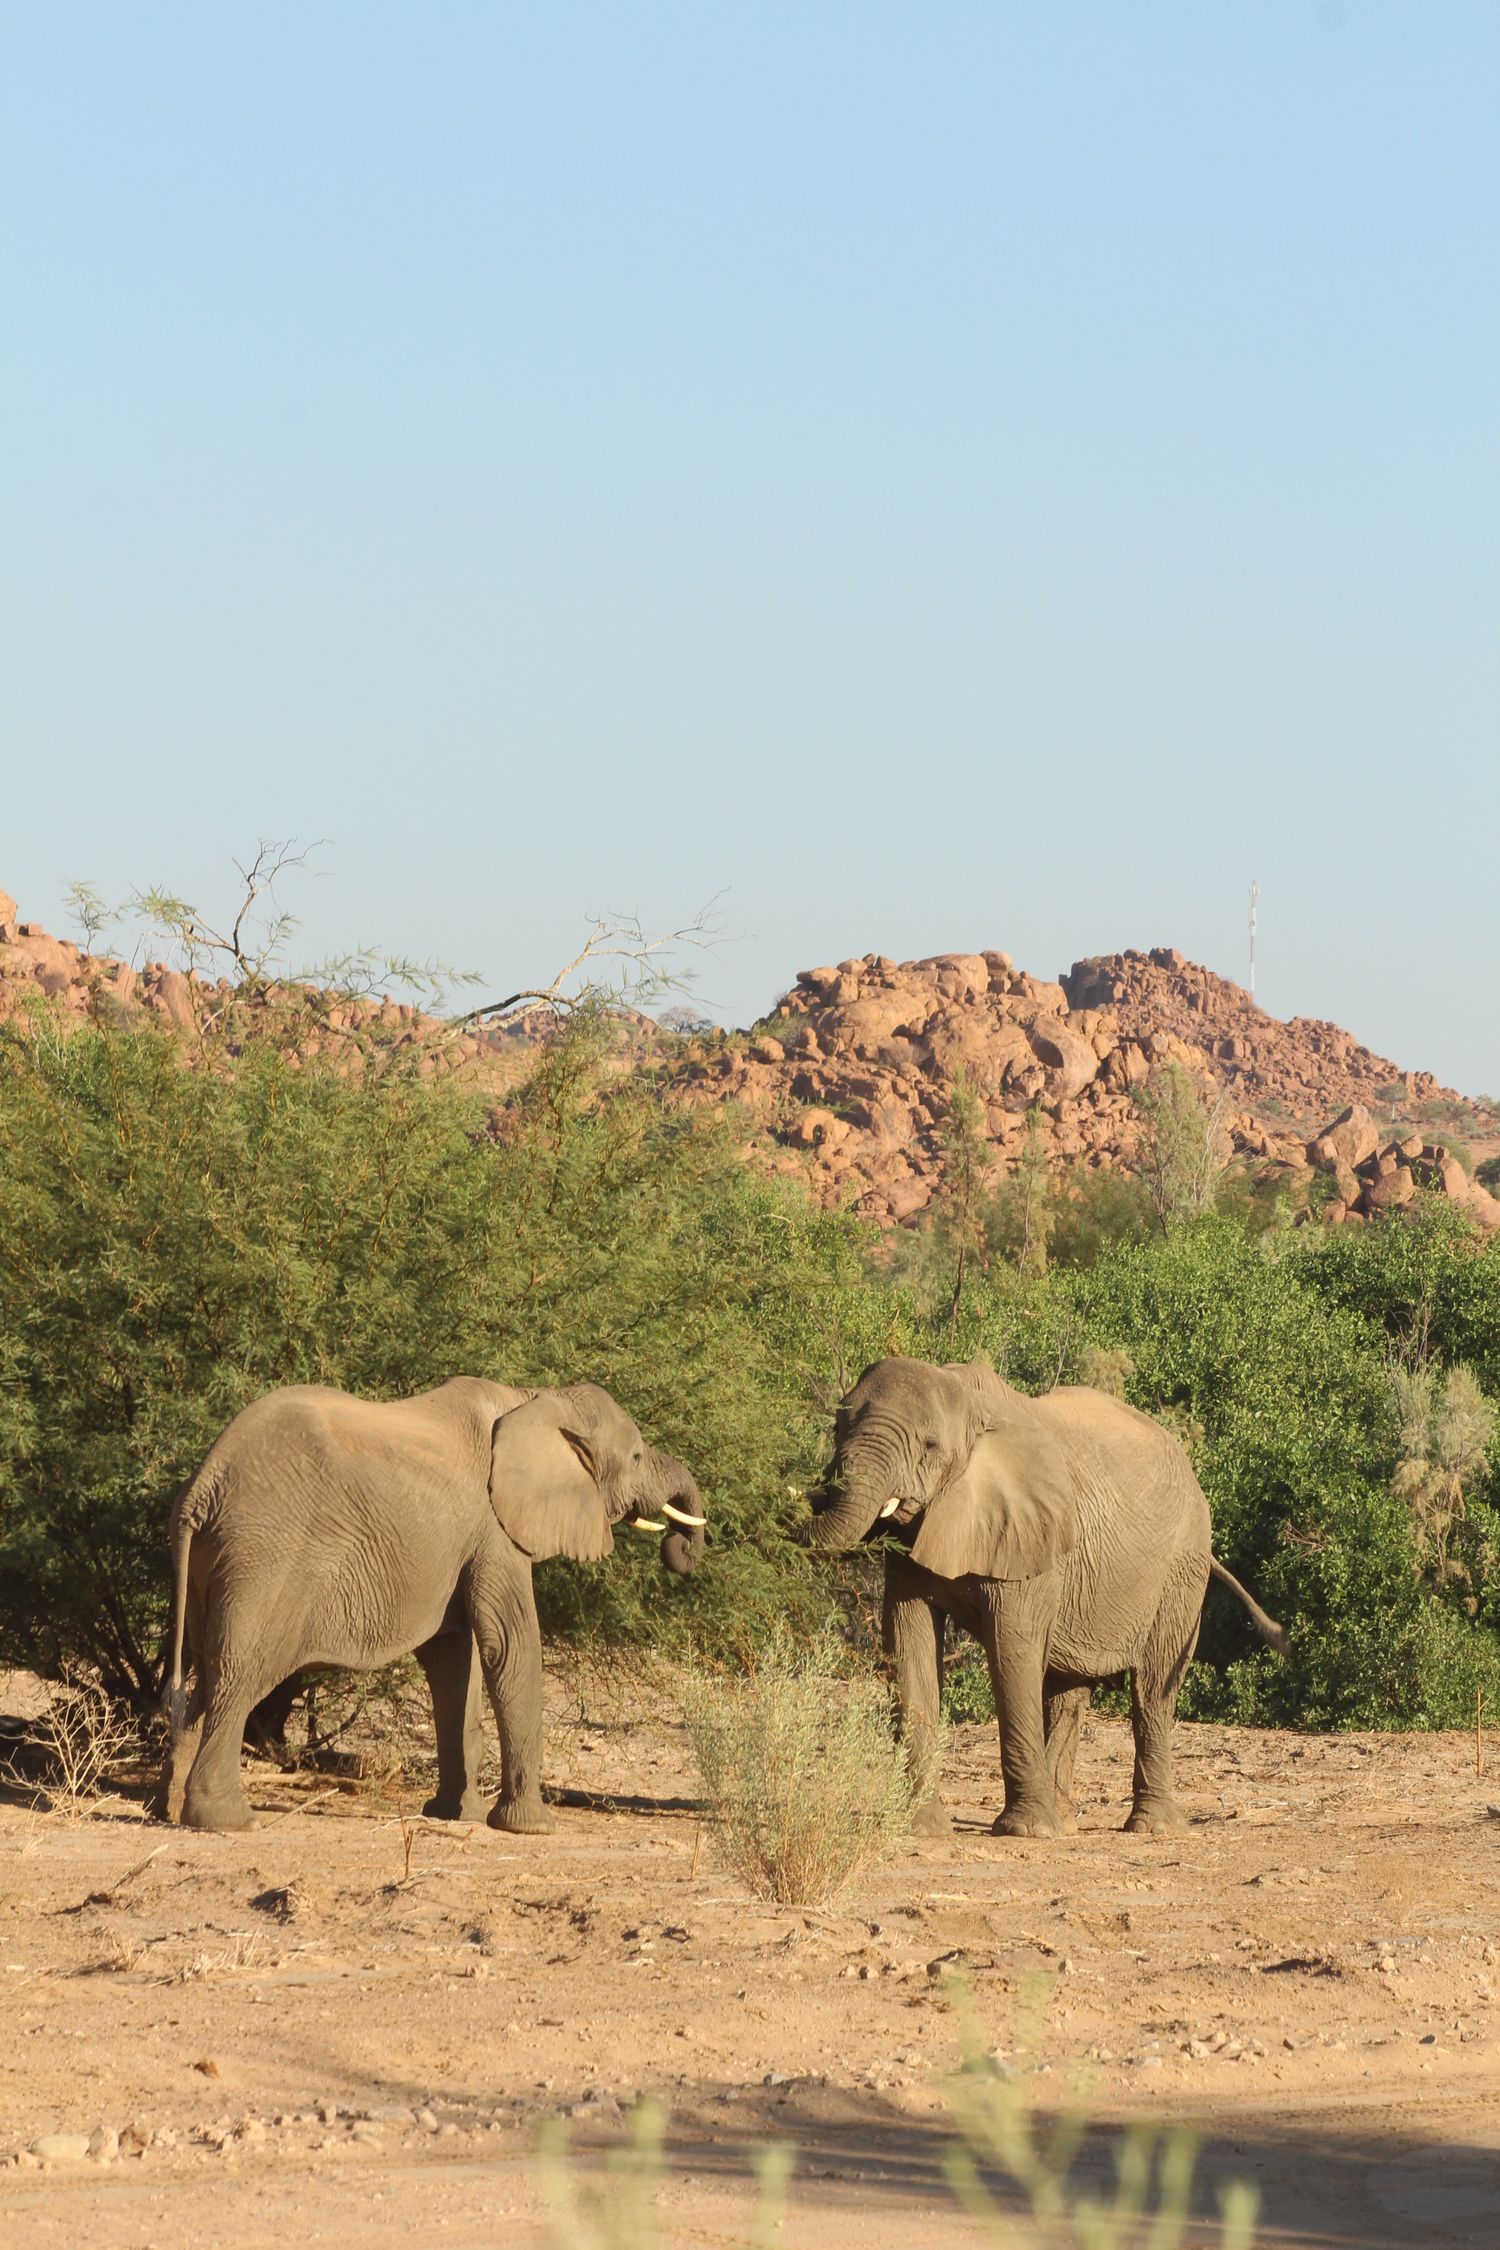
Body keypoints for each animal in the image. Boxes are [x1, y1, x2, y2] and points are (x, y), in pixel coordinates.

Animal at [156, 1376, 705, 1833]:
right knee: (239, 1676)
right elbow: (510, 1646)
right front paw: (531, 1828)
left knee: (206, 1673)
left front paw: (455, 1815)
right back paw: (228, 1821)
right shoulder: (494, 1530)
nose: (679, 1547)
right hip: (264, 1558)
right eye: (636, 1458)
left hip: (216, 1561)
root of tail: (203, 1483)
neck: (534, 1398)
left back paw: (168, 1810)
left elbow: (454, 1662)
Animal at [807, 1358, 1285, 1840]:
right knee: (1068, 1689)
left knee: (1152, 1689)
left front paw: (1027, 1830)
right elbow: (909, 1648)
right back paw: (1066, 1821)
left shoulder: (1030, 1532)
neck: (971, 1406)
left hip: (1181, 1567)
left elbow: (1012, 1651)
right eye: (837, 1427)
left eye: (929, 1445)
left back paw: (1151, 1828)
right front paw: (922, 1828)